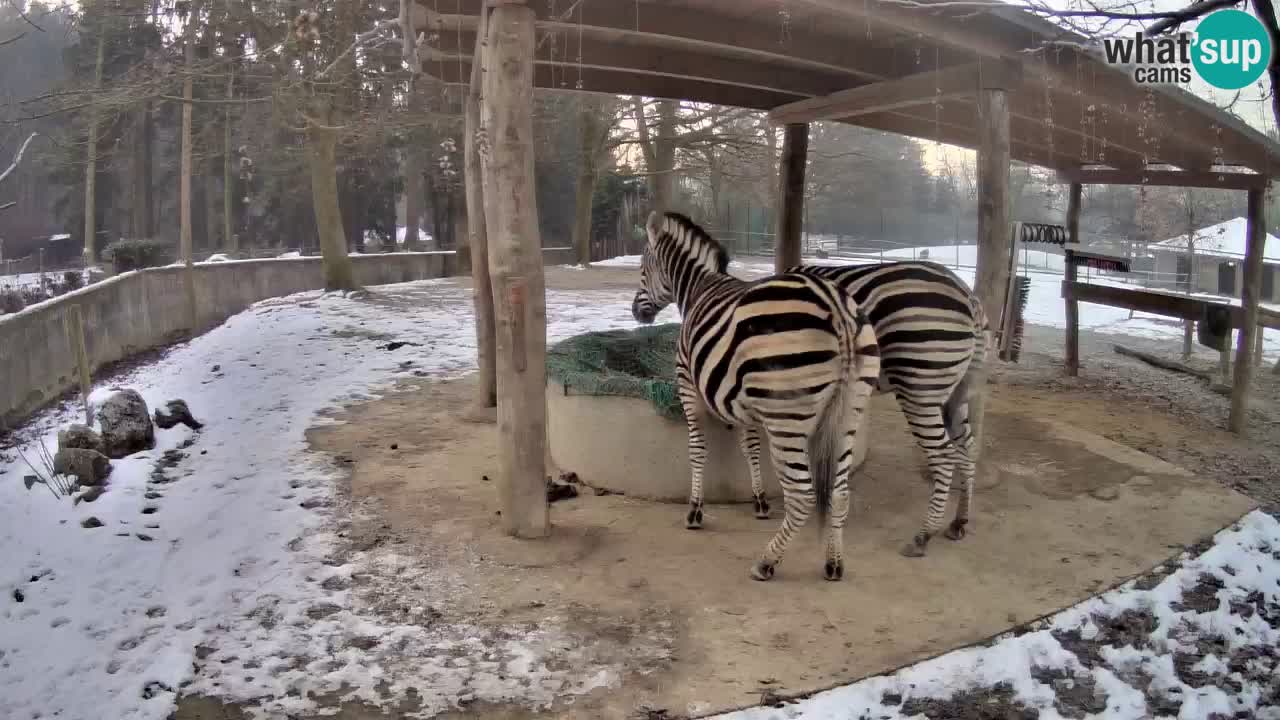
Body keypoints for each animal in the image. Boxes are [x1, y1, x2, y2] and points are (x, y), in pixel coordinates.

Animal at [629, 210, 880, 579]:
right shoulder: (740, 400)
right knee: (840, 491)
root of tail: (836, 306)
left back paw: (766, 562)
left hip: (787, 418)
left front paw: (695, 511)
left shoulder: (688, 386)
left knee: (803, 495)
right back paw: (834, 562)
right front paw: (759, 501)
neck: (698, 287)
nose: (637, 313)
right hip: (850, 413)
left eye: (643, 268)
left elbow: (697, 450)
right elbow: (750, 448)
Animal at [768, 257, 988, 556]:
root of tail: (968, 295)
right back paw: (959, 521)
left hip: (920, 389)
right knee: (967, 447)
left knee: (944, 456)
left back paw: (923, 535)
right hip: (956, 392)